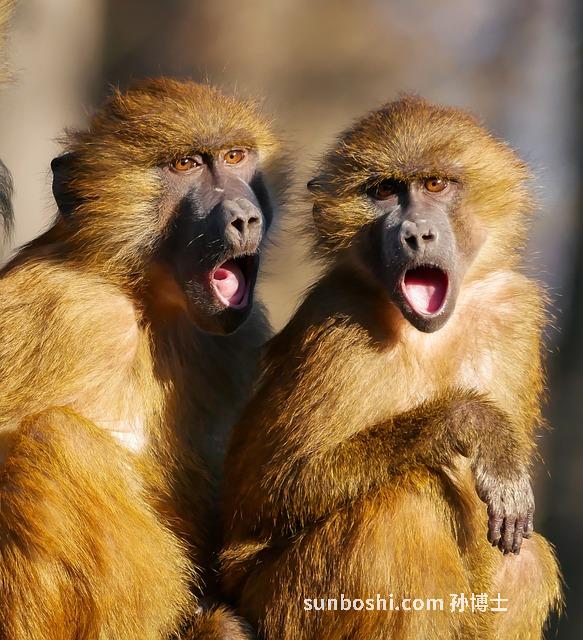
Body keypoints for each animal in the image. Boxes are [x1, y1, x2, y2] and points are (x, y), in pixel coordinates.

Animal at [0, 78, 287, 639]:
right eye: (185, 165)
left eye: (235, 156)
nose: (245, 217)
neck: (144, 300)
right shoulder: (68, 309)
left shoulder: (238, 337)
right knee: (53, 440)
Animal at [220, 97, 562, 640]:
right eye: (384, 191)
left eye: (435, 184)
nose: (416, 234)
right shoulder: (337, 325)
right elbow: (270, 490)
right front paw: (474, 424)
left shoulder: (512, 314)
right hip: (284, 602)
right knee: (402, 506)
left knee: (524, 562)